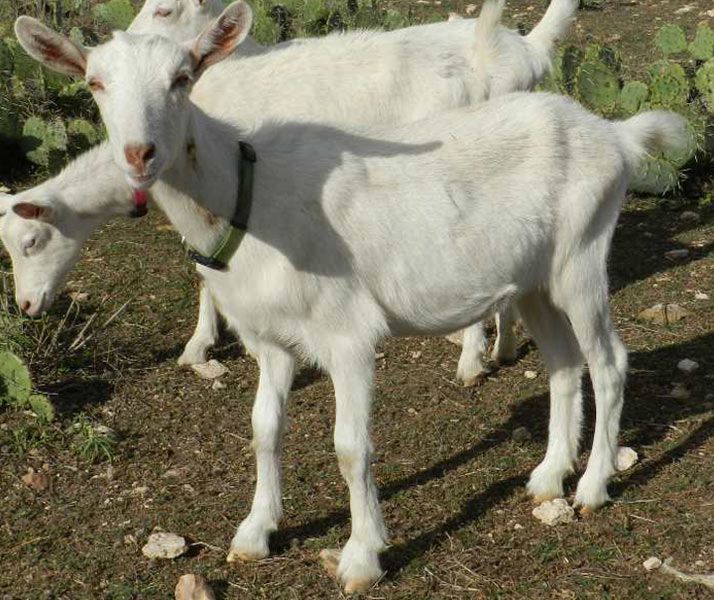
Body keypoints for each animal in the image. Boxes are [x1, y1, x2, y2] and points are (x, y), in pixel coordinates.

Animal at [10, 3, 687, 592]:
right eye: (95, 82)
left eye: (182, 79)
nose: (138, 154)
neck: (248, 197)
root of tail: (616, 136)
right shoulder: (268, 337)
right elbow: (263, 428)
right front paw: (255, 532)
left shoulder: (349, 334)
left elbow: (349, 447)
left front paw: (362, 558)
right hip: (534, 281)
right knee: (564, 366)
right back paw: (547, 478)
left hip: (582, 256)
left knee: (609, 361)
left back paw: (592, 486)